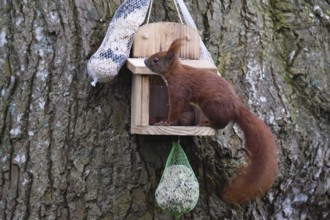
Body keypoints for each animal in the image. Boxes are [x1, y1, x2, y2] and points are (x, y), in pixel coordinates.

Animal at [145, 38, 278, 204]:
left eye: (156, 60)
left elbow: (176, 109)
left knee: (222, 123)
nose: (145, 61)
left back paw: (208, 123)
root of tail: (236, 106)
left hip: (211, 105)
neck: (176, 73)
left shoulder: (179, 91)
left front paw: (165, 123)